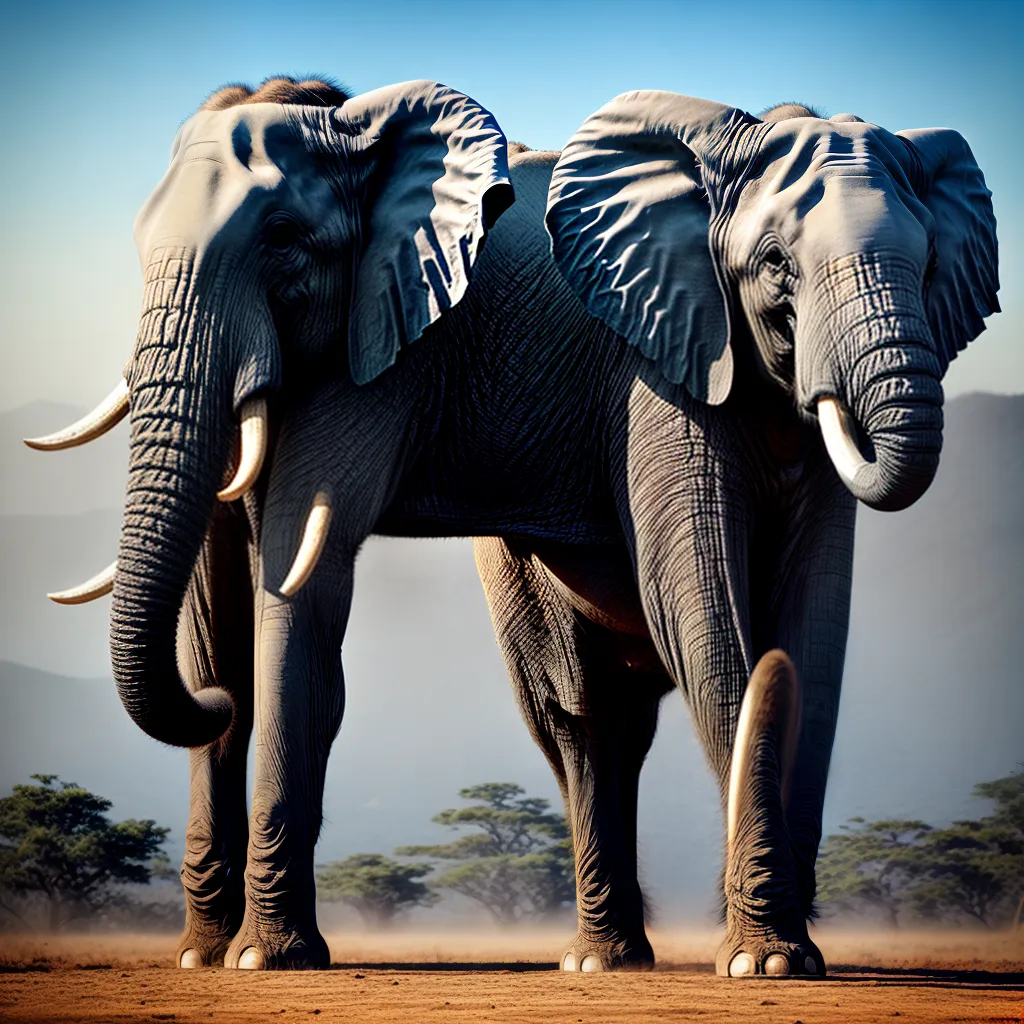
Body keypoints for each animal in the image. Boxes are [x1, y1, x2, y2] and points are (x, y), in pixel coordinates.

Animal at [27, 81, 998, 978]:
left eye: (284, 242)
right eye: (775, 265)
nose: (214, 707)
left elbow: (810, 632)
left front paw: (778, 958)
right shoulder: (630, 364)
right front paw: (263, 960)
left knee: (602, 724)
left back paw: (605, 962)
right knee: (575, 716)